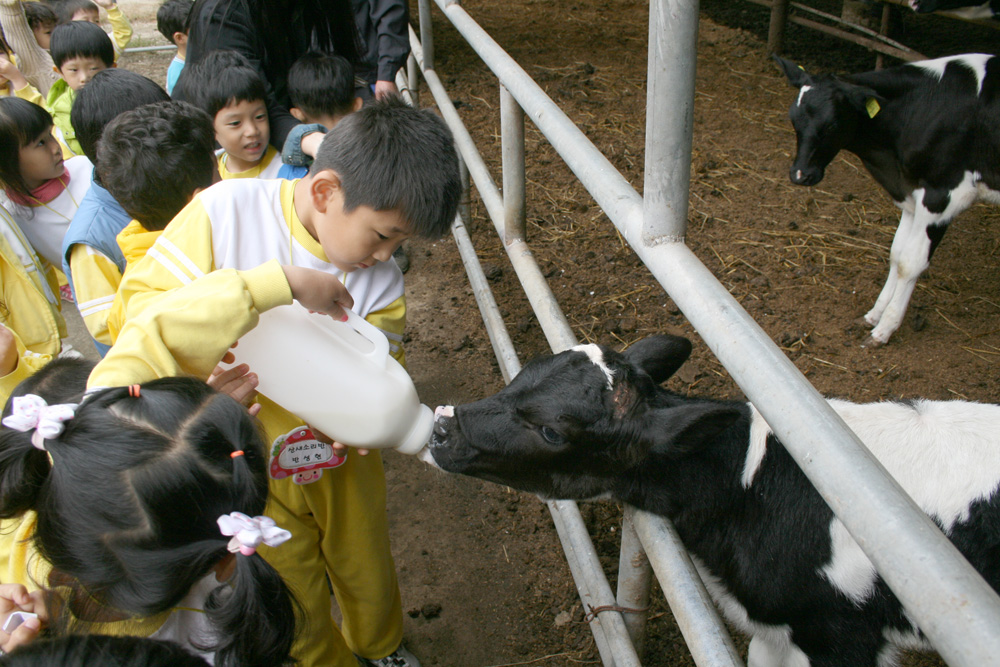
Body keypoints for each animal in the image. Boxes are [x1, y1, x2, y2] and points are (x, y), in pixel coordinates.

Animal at [780, 54, 1000, 348]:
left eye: (832, 124)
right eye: (794, 120)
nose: (800, 174)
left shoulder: (945, 194)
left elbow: (911, 262)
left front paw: (884, 329)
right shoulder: (912, 193)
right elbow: (897, 254)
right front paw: (874, 315)